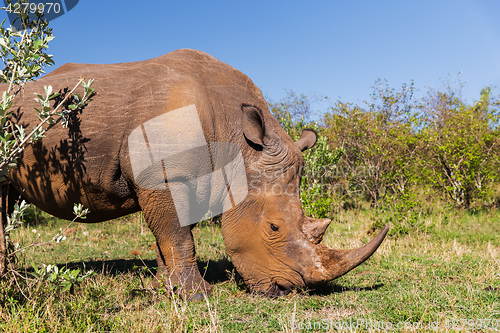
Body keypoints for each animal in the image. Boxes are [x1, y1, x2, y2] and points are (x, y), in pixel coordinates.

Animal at [4, 49, 386, 298]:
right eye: (274, 227)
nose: (286, 290)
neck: (239, 147)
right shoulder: (164, 177)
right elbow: (177, 235)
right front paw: (198, 295)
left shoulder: (170, 178)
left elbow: (168, 237)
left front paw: (165, 288)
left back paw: (12, 278)